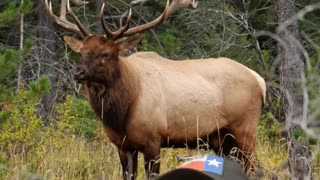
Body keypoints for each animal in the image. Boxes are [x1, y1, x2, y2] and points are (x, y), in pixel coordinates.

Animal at [44, 0, 264, 179]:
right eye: (82, 52)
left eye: (106, 54)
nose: (78, 72)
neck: (122, 111)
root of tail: (259, 79)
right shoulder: (123, 146)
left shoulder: (153, 140)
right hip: (221, 139)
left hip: (246, 129)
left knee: (255, 169)